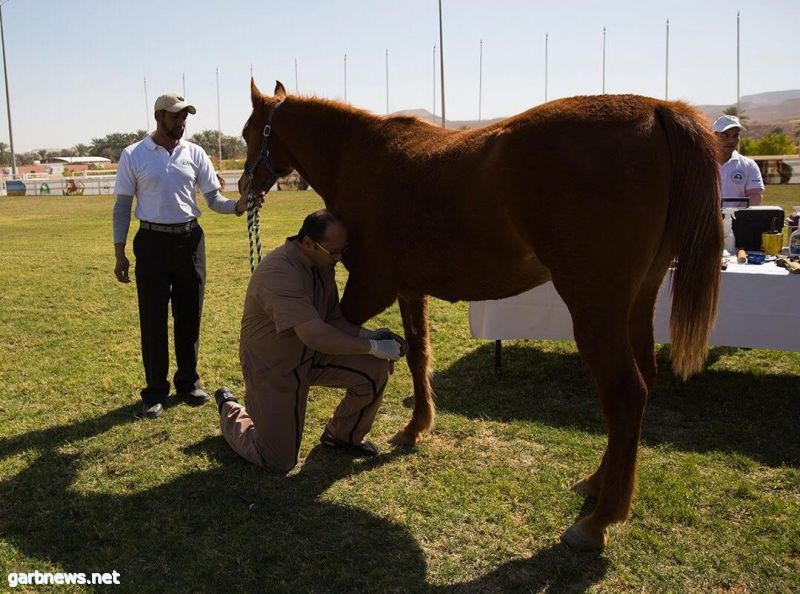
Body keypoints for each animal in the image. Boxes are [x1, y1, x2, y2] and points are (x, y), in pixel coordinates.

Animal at [236, 80, 720, 552]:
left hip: (595, 307)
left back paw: (600, 519)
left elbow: (340, 341)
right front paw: (415, 428)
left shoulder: (369, 287)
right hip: (638, 300)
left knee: (625, 396)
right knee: (642, 385)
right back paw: (599, 483)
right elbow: (417, 356)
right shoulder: (410, 290)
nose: (242, 191)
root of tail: (657, 109)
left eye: (246, 132)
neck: (361, 155)